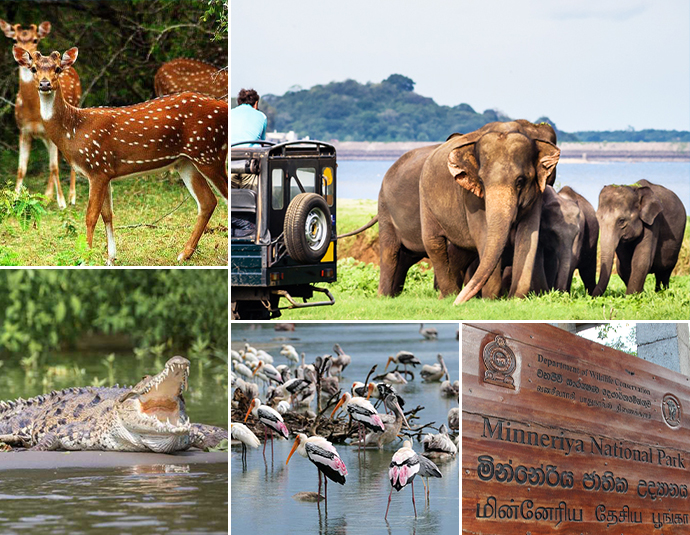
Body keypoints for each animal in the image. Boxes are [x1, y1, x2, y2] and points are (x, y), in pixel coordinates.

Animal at [0, 18, 82, 208]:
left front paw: (62, 203)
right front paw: (15, 197)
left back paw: (71, 196)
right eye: (15, 39)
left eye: (35, 39)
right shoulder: (23, 130)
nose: (27, 56)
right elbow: (21, 169)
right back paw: (48, 196)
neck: (33, 112)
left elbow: (54, 167)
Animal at [12, 46, 228, 266]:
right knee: (208, 201)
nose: (44, 84)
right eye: (33, 68)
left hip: (209, 153)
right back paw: (184, 253)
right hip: (186, 162)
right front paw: (110, 258)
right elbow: (108, 215)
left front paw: (85, 258)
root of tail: (224, 107)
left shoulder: (96, 167)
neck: (72, 130)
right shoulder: (106, 172)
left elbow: (91, 216)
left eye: (57, 69)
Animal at [416, 122, 556, 306]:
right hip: (425, 200)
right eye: (481, 181)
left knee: (460, 250)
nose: (458, 304)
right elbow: (483, 234)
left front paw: (514, 299)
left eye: (520, 181)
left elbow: (528, 237)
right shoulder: (471, 197)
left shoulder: (536, 195)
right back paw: (449, 296)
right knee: (433, 243)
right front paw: (490, 299)